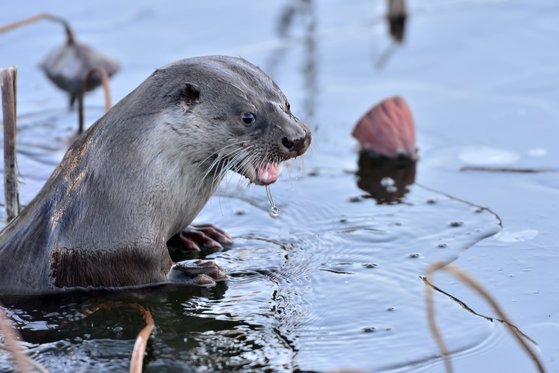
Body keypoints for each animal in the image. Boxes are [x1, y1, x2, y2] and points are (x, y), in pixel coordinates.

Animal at [0, 55, 310, 294]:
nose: (298, 138)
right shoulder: (111, 246)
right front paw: (192, 273)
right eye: (248, 116)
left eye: (287, 104)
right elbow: (147, 274)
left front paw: (198, 234)